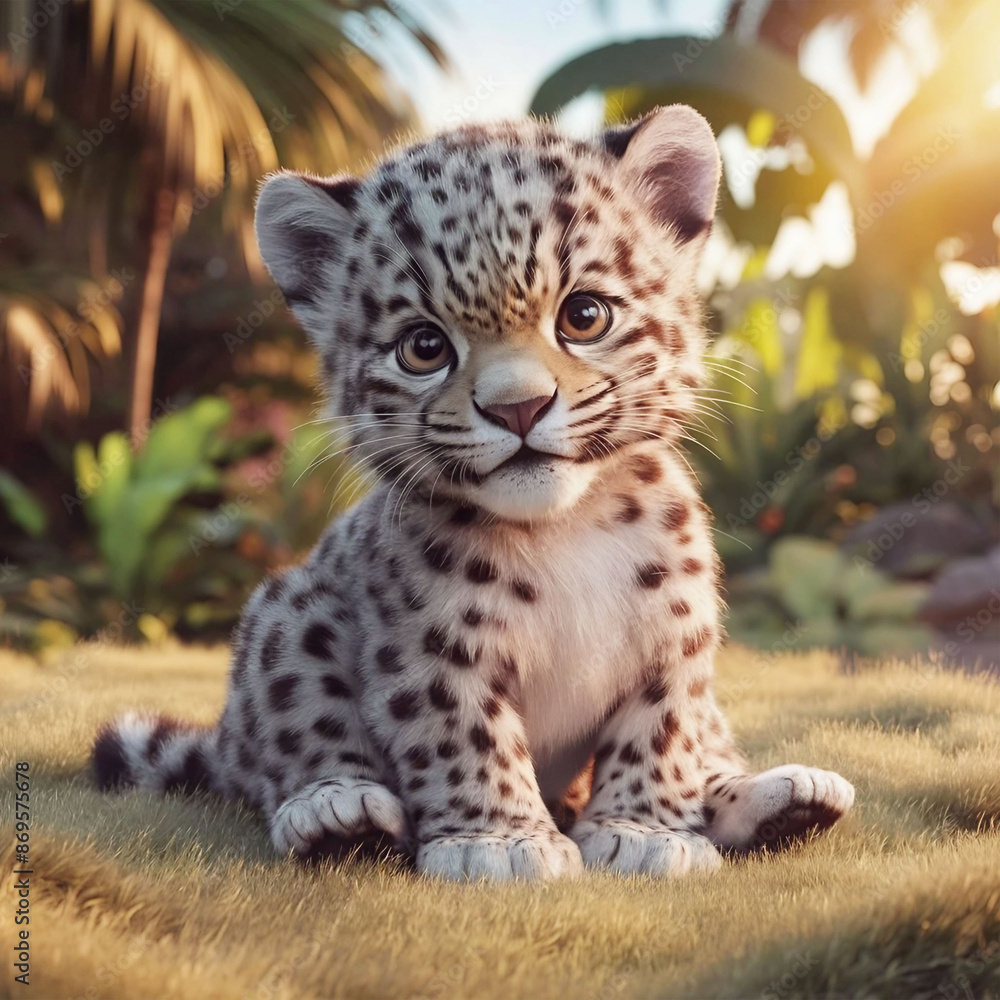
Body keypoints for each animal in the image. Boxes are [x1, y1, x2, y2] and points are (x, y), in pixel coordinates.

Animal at [91, 105, 854, 881]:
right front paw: (501, 843)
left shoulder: (677, 635)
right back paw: (336, 811)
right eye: (424, 347)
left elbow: (665, 728)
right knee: (289, 740)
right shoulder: (430, 651)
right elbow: (464, 734)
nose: (518, 407)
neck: (564, 530)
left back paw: (782, 797)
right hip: (288, 612)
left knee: (711, 740)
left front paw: (643, 830)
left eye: (584, 316)